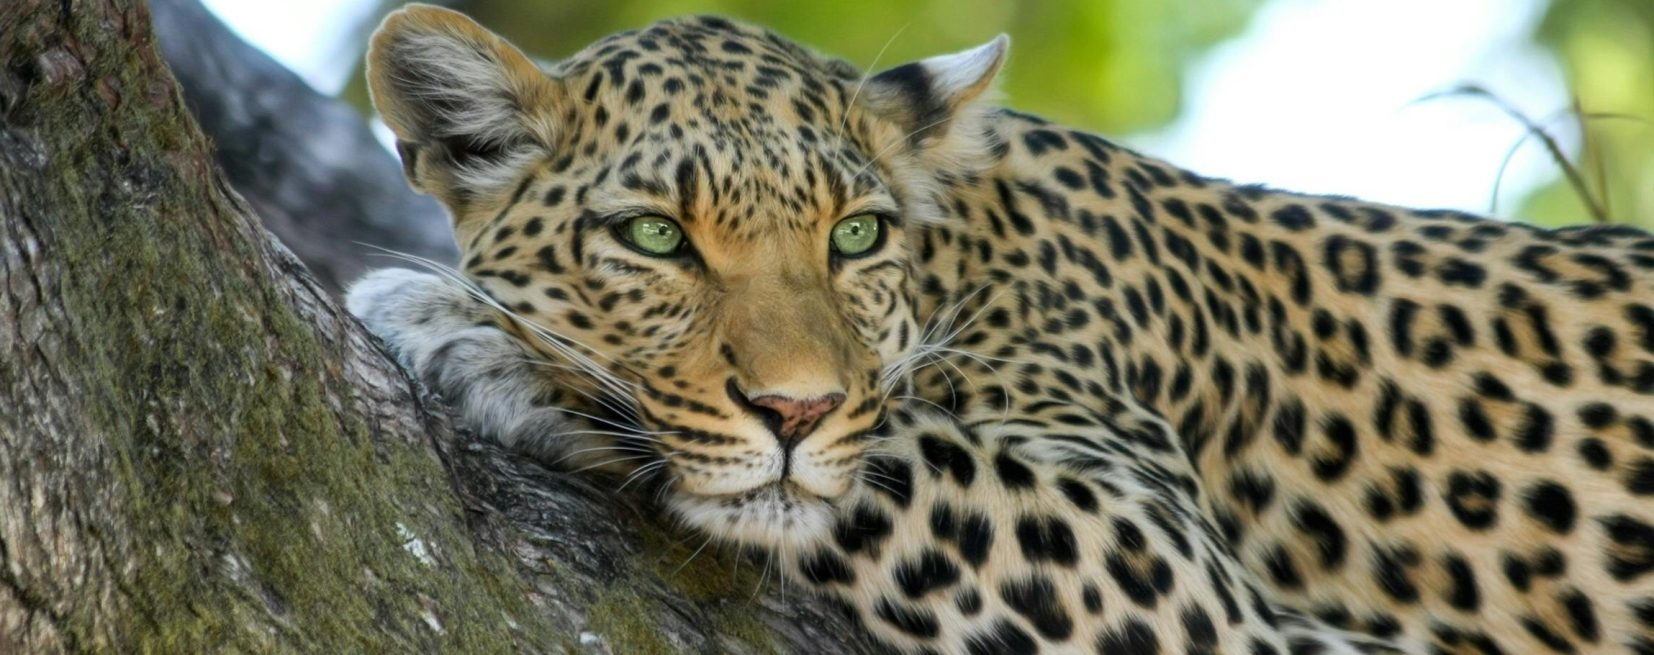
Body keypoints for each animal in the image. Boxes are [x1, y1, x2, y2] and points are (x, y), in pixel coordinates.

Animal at [346, 5, 1654, 653]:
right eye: (656, 237)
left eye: (855, 236)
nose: (795, 408)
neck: (964, 253)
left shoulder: (1177, 569)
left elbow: (895, 452)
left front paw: (476, 334)